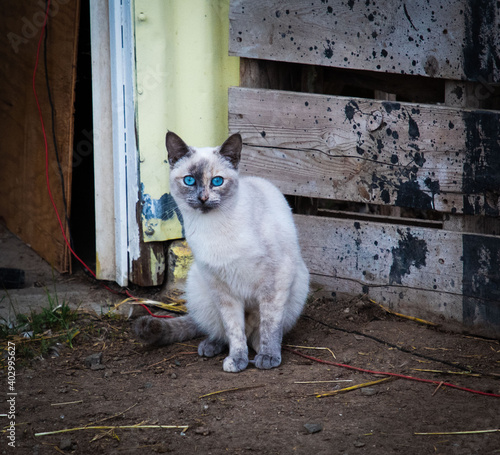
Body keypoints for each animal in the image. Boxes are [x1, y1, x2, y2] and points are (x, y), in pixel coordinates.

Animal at [135, 132, 310, 374]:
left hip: (297, 284)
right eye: (189, 180)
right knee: (221, 331)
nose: (203, 198)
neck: (213, 228)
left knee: (257, 332)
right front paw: (237, 360)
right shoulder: (222, 289)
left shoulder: (273, 281)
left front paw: (268, 357)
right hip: (200, 286)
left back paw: (260, 351)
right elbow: (234, 330)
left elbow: (268, 325)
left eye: (217, 181)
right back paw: (210, 346)